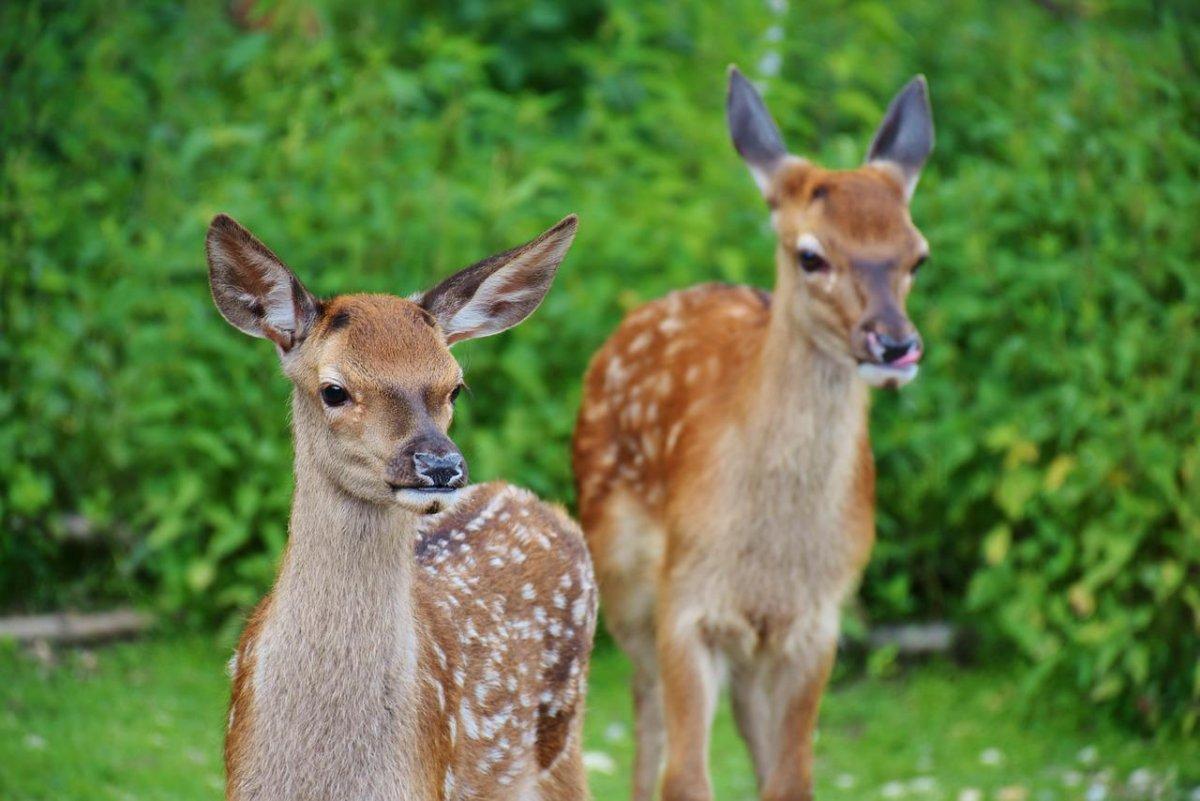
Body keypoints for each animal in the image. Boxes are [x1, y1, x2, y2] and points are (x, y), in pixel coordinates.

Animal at [210, 212, 600, 801]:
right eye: (334, 390)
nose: (441, 466)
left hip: (561, 743)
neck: (323, 778)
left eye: (456, 386)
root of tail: (525, 496)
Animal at [571, 70, 936, 801]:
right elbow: (685, 776)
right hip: (622, 575)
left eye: (917, 256)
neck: (770, 554)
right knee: (646, 713)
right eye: (811, 255)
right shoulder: (687, 601)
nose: (894, 344)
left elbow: (792, 775)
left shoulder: (817, 620)